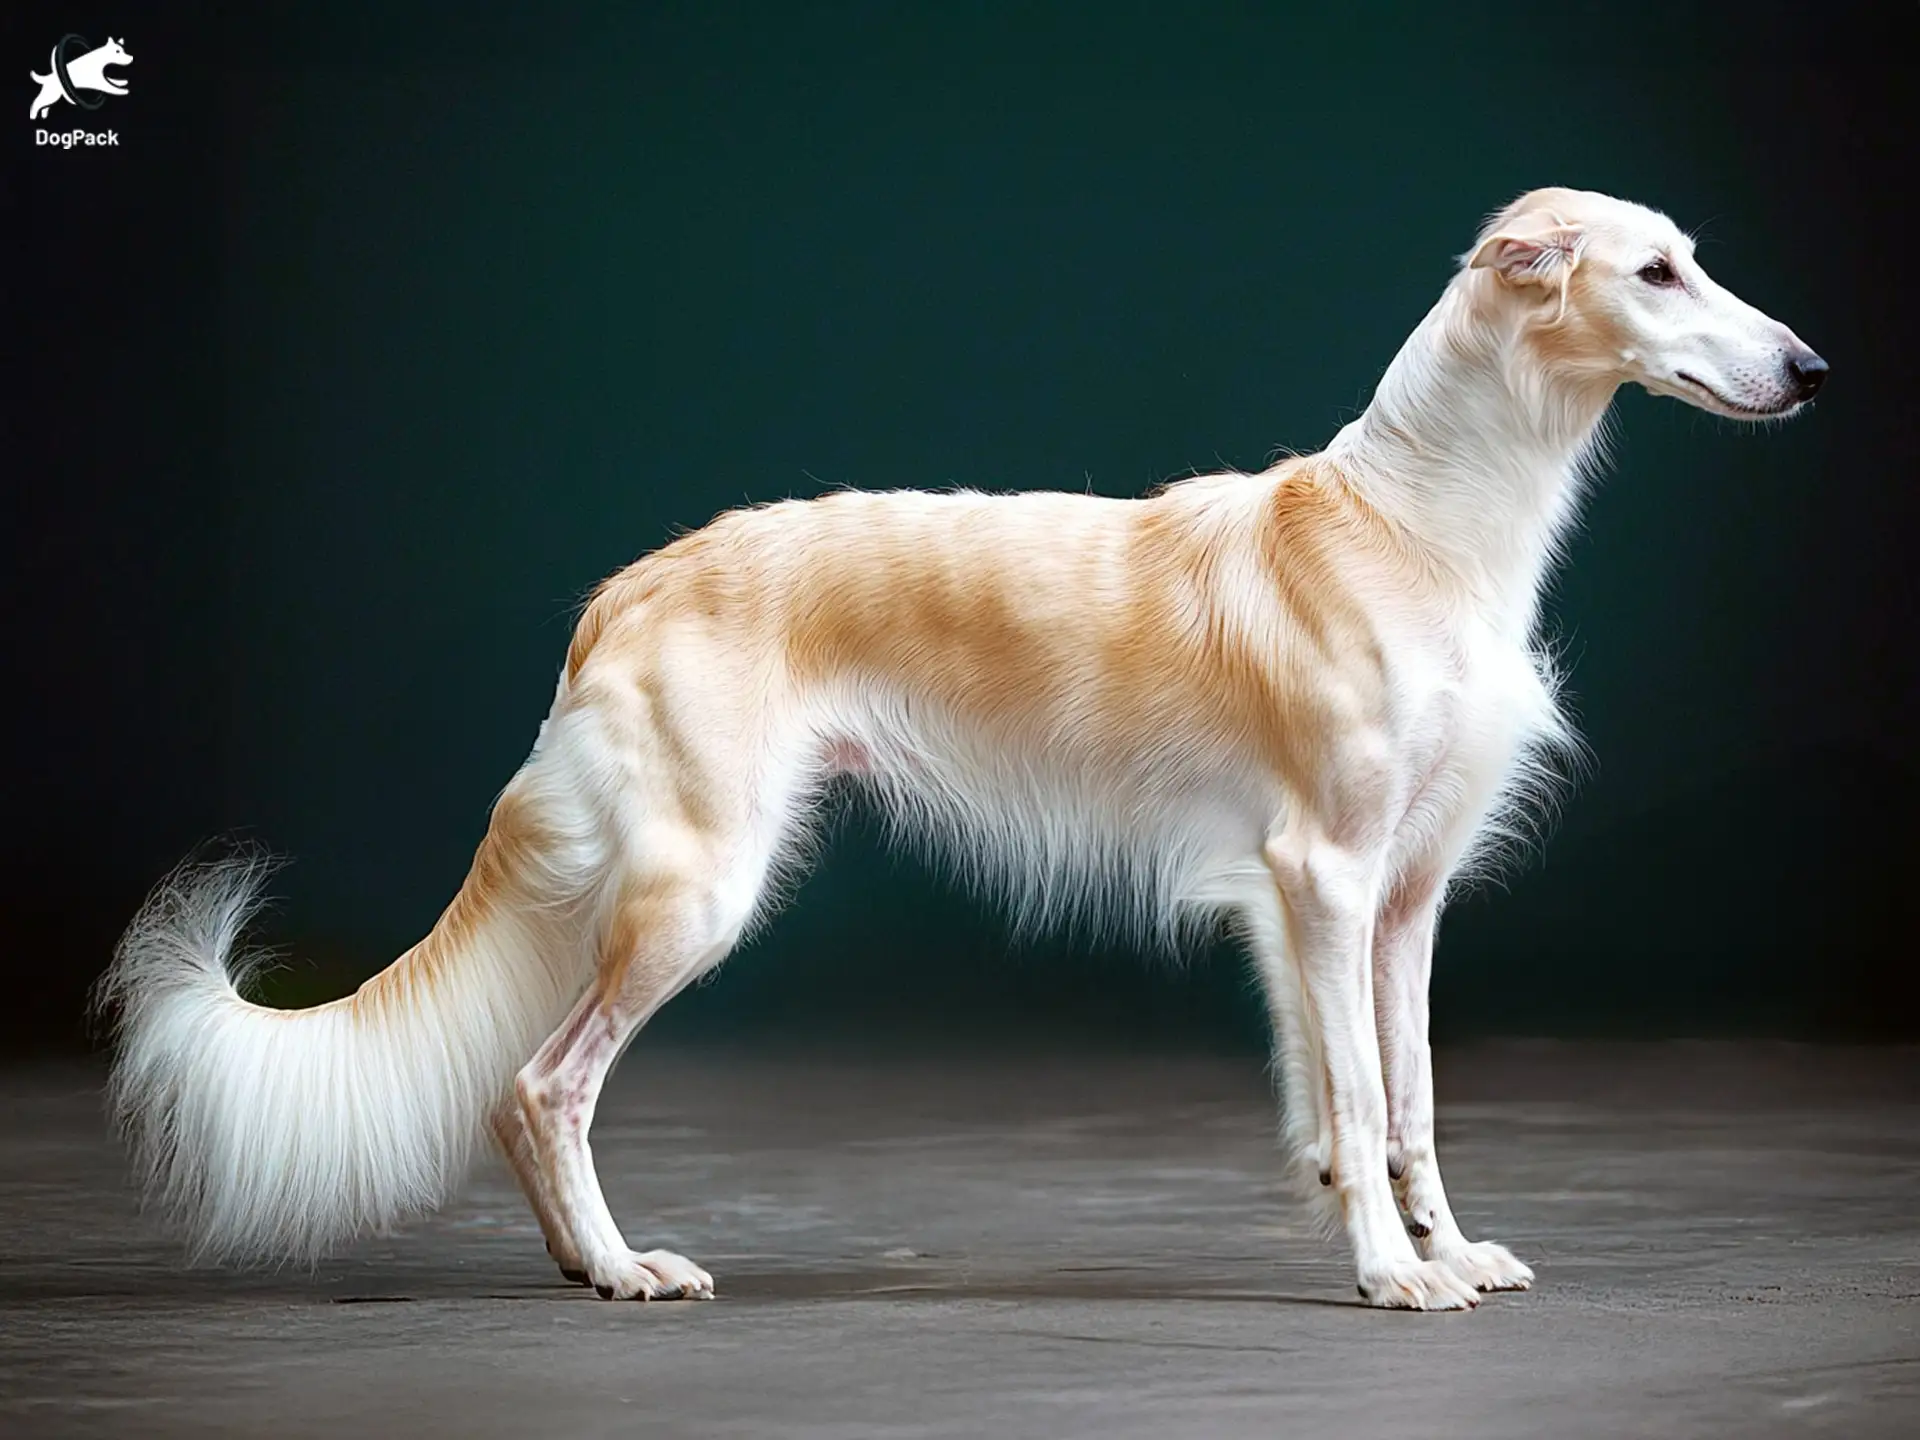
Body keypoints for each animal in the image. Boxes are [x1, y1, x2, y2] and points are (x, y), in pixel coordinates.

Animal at [93, 189, 1827, 1305]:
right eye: (1659, 272)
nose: (1810, 371)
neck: (1418, 528)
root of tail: (622, 593)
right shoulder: (1322, 878)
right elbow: (1346, 1100)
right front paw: (1395, 1279)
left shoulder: (1404, 900)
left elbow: (1402, 1106)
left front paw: (1444, 1249)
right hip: (698, 891)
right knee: (539, 1087)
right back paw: (623, 1267)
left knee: (528, 1098)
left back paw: (584, 1265)